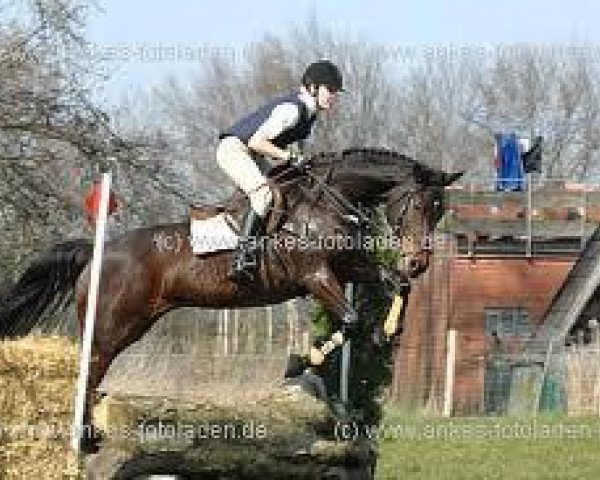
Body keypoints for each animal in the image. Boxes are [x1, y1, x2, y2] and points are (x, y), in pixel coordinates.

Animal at [0, 145, 464, 450]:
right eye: (418, 206)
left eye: (439, 210)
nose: (420, 261)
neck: (328, 203)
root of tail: (97, 253)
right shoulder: (315, 276)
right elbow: (349, 319)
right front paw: (301, 361)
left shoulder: (351, 266)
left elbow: (396, 286)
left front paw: (388, 331)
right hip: (112, 325)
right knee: (91, 366)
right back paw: (83, 437)